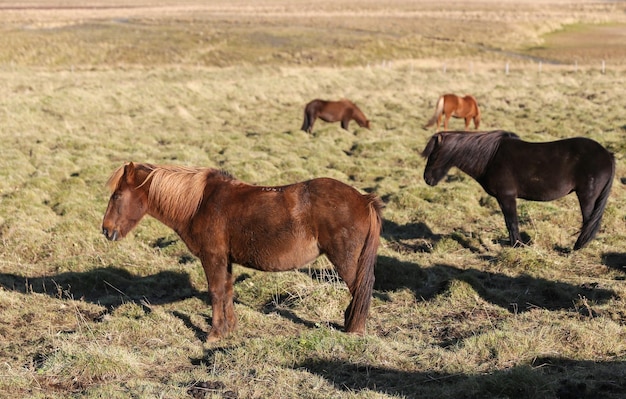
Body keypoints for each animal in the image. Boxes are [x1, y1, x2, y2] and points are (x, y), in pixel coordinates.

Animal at [102, 163, 380, 344]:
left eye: (117, 196)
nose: (106, 230)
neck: (200, 203)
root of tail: (363, 199)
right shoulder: (225, 260)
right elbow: (227, 291)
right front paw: (230, 329)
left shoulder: (212, 257)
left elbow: (216, 292)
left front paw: (214, 334)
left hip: (346, 261)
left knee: (359, 291)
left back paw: (354, 329)